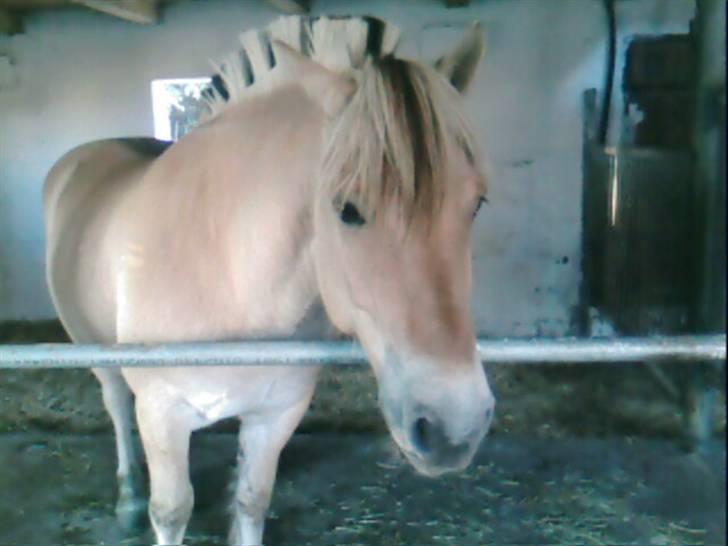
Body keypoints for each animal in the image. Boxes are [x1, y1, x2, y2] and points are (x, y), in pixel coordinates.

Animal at [43, 15, 495, 545]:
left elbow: (251, 500)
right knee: (115, 403)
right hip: (93, 350)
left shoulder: (275, 416)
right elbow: (171, 511)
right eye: (347, 209)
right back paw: (129, 498)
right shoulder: (161, 413)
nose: (453, 428)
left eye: (477, 204)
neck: (230, 275)